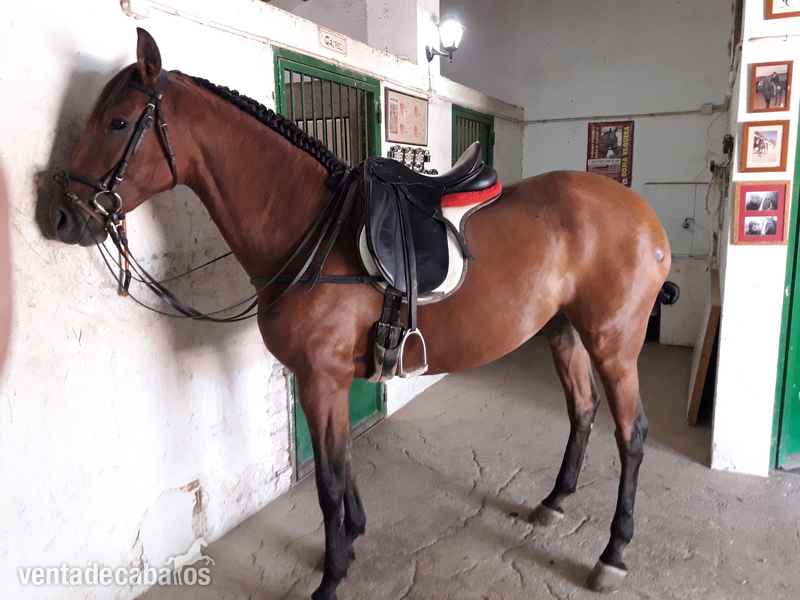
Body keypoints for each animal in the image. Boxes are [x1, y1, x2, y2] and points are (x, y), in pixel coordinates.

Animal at [50, 29, 678, 599]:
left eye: (117, 123)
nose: (62, 216)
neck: (308, 228)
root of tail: (644, 215)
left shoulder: (319, 378)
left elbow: (328, 481)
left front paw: (332, 575)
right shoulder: (330, 380)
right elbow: (345, 462)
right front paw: (353, 536)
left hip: (613, 343)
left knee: (632, 433)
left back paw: (613, 553)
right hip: (563, 332)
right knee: (582, 411)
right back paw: (554, 501)